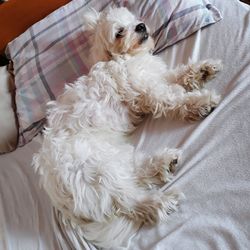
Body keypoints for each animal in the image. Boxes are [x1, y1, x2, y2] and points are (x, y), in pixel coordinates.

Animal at [32, 6, 222, 249]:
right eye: (119, 33)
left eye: (133, 20)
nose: (140, 26)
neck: (126, 58)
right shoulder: (152, 91)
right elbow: (176, 98)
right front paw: (200, 102)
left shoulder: (157, 77)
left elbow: (178, 75)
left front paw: (202, 70)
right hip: (96, 171)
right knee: (130, 201)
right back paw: (161, 202)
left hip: (114, 155)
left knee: (135, 172)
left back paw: (164, 164)